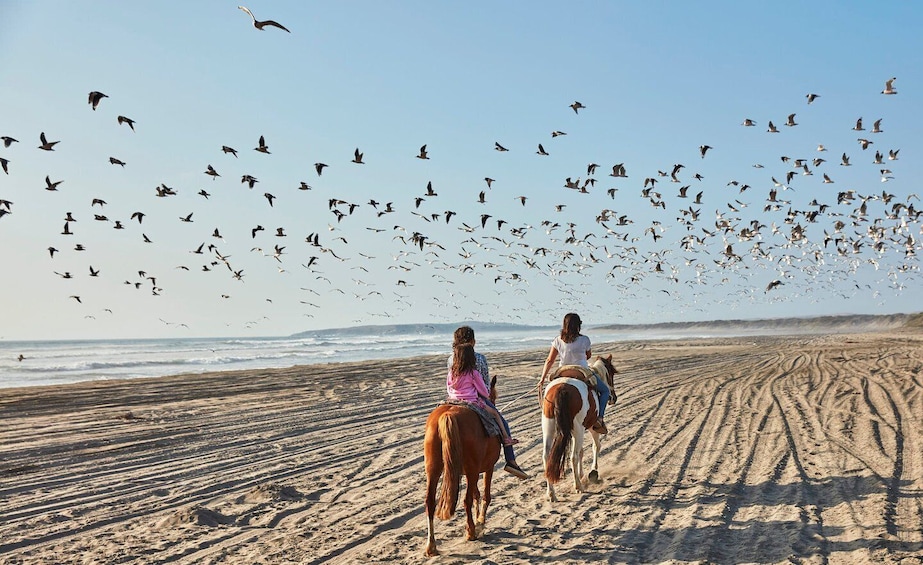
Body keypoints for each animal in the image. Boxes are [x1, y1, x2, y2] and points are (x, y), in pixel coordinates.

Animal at [424, 374, 502, 556]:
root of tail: (448, 413)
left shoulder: (468, 472)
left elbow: (477, 494)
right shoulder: (487, 468)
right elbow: (484, 495)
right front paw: (481, 521)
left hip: (433, 468)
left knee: (430, 502)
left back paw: (431, 546)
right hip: (473, 470)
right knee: (466, 500)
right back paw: (471, 532)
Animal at [540, 354, 620, 500]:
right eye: (611, 374)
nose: (613, 397)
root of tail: (562, 389)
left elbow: (582, 451)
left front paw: (582, 473)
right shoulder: (591, 427)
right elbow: (595, 447)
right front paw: (593, 471)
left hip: (549, 428)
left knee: (546, 456)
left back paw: (551, 493)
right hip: (578, 430)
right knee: (573, 456)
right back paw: (578, 486)